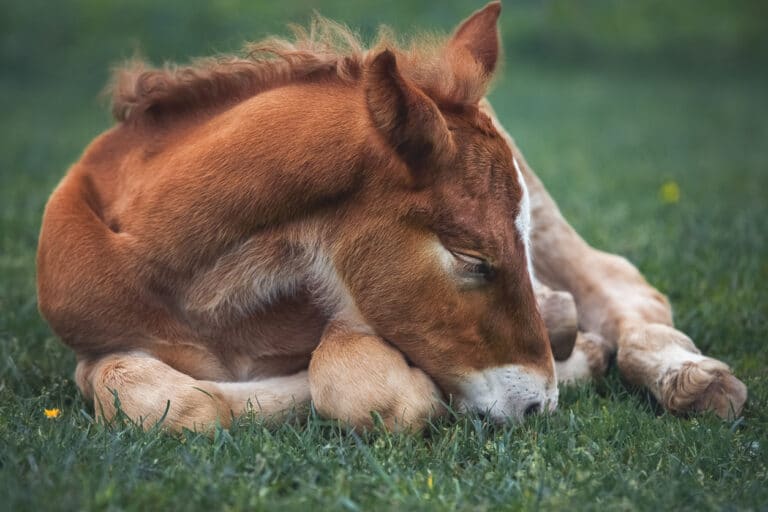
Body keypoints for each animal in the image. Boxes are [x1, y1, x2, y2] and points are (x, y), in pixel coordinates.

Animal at [37, 2, 746, 432]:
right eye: (471, 259)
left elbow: (352, 381)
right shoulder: (97, 342)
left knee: (619, 285)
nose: (537, 405)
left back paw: (692, 379)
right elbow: (158, 398)